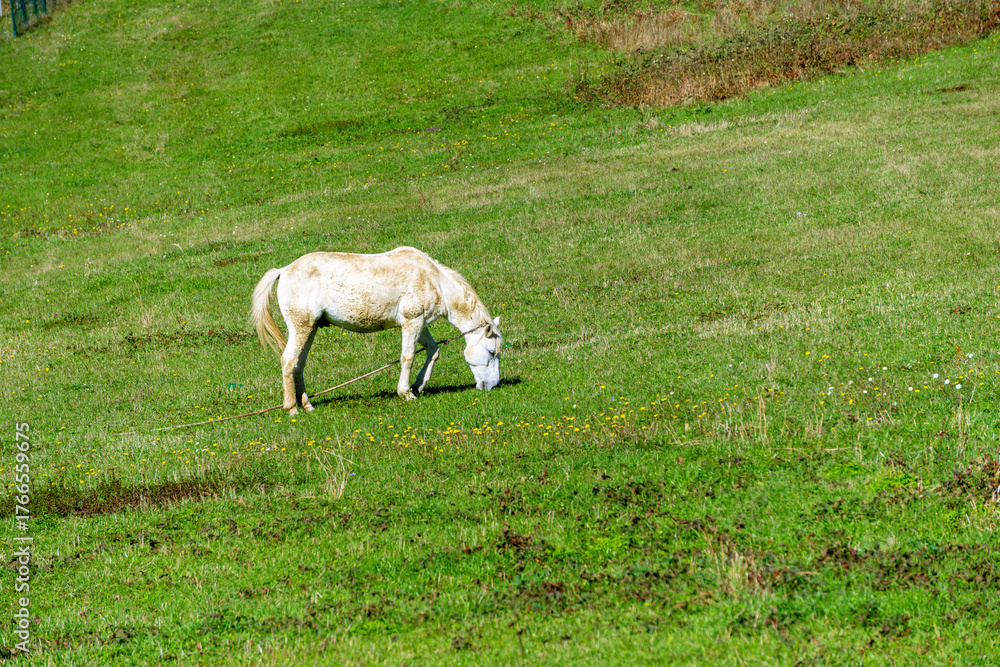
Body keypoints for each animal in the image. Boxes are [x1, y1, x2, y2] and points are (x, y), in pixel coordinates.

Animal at [250, 246, 504, 414]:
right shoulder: (412, 322)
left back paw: (307, 405)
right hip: (301, 328)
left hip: (310, 329)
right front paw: (406, 393)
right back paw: (291, 409)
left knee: (298, 364)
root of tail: (284, 270)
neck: (433, 280)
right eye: (492, 352)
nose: (492, 386)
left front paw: (418, 386)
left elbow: (433, 351)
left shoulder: (420, 324)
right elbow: (407, 357)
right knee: (288, 361)